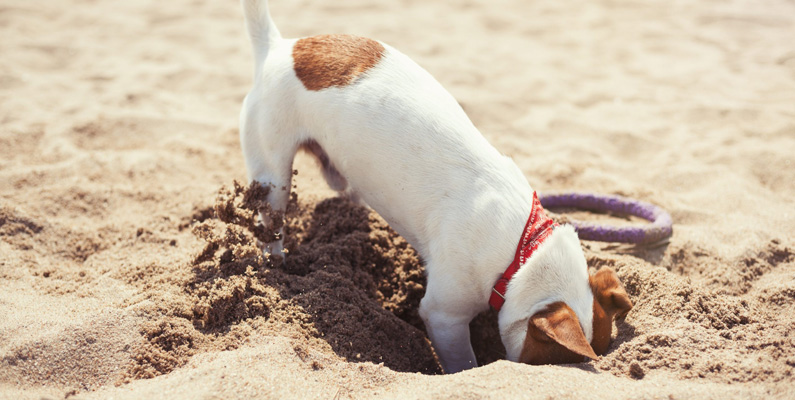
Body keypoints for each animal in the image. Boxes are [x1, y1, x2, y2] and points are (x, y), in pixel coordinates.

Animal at [236, 0, 636, 376]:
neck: (524, 248)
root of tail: (279, 47)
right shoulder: (443, 316)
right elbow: (463, 362)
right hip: (273, 178)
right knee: (271, 225)